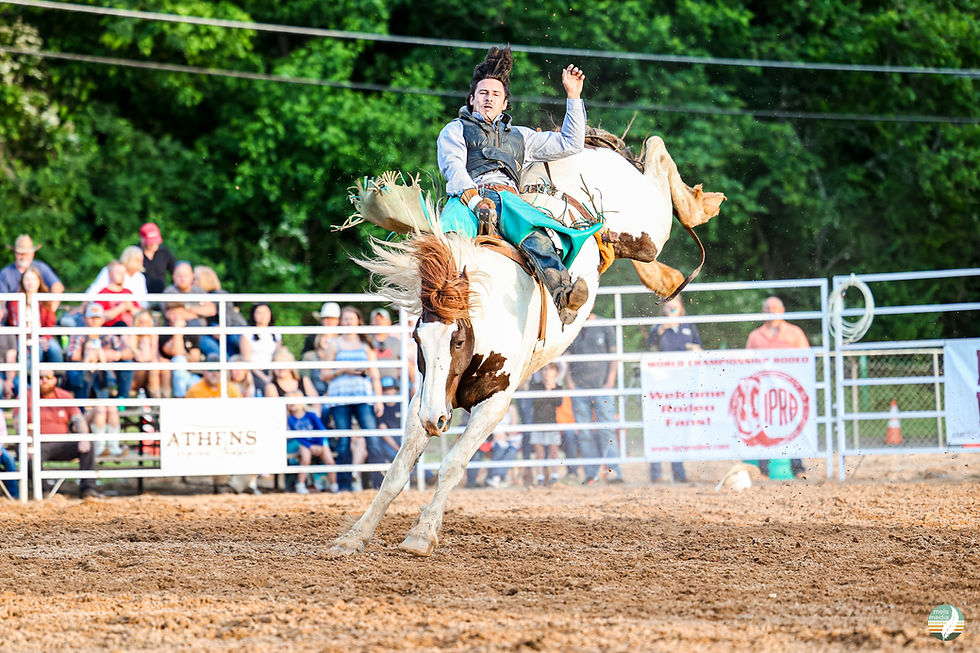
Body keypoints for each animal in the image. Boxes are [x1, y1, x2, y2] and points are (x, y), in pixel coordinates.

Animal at [328, 135, 723, 557]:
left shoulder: (495, 404)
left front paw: (421, 534)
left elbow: (451, 465)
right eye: (418, 337)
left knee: (656, 155)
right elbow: (396, 472)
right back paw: (664, 277)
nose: (436, 421)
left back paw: (699, 205)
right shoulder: (425, 399)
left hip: (645, 222)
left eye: (458, 339)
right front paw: (353, 536)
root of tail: (583, 149)